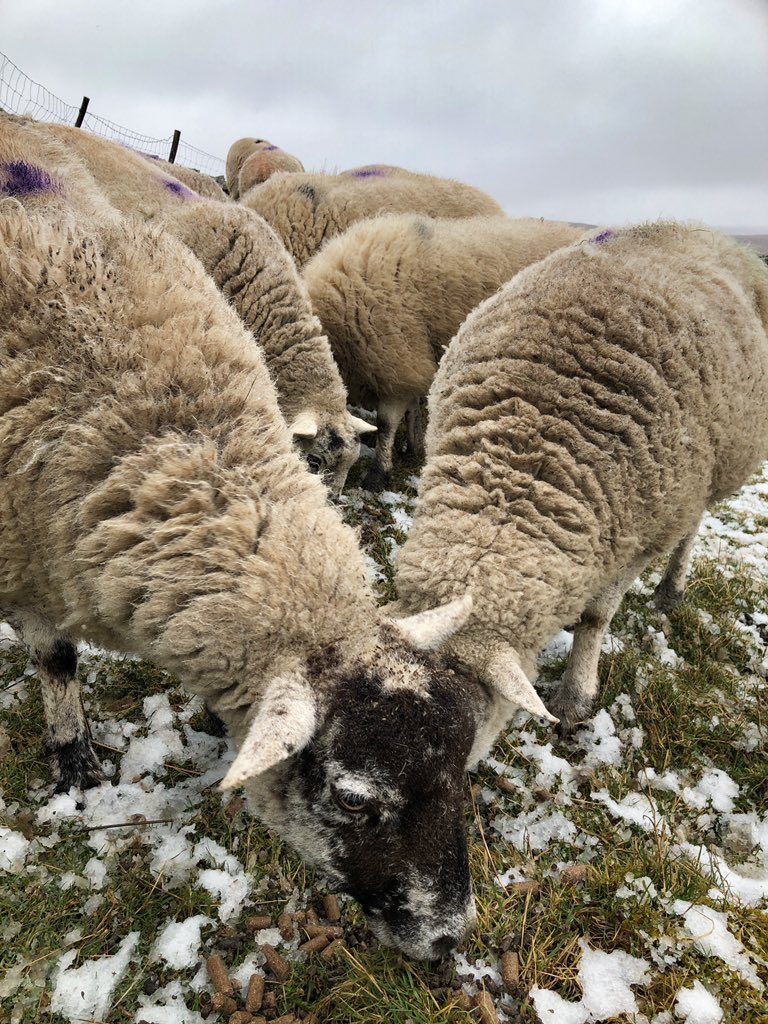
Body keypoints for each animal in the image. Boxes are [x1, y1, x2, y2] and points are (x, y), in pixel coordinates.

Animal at [0, 179, 513, 957]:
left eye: (463, 766)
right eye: (352, 800)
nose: (451, 937)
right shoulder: (28, 565)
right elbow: (56, 662)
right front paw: (75, 763)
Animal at [303, 213, 585, 489]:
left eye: (314, 460)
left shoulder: (396, 362)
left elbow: (385, 424)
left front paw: (378, 474)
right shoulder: (413, 362)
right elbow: (413, 408)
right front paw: (414, 446)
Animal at [392, 222, 768, 741]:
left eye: (469, 728)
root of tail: (701, 230)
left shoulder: (644, 532)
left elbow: (595, 616)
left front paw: (574, 699)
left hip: (704, 477)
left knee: (692, 526)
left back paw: (670, 590)